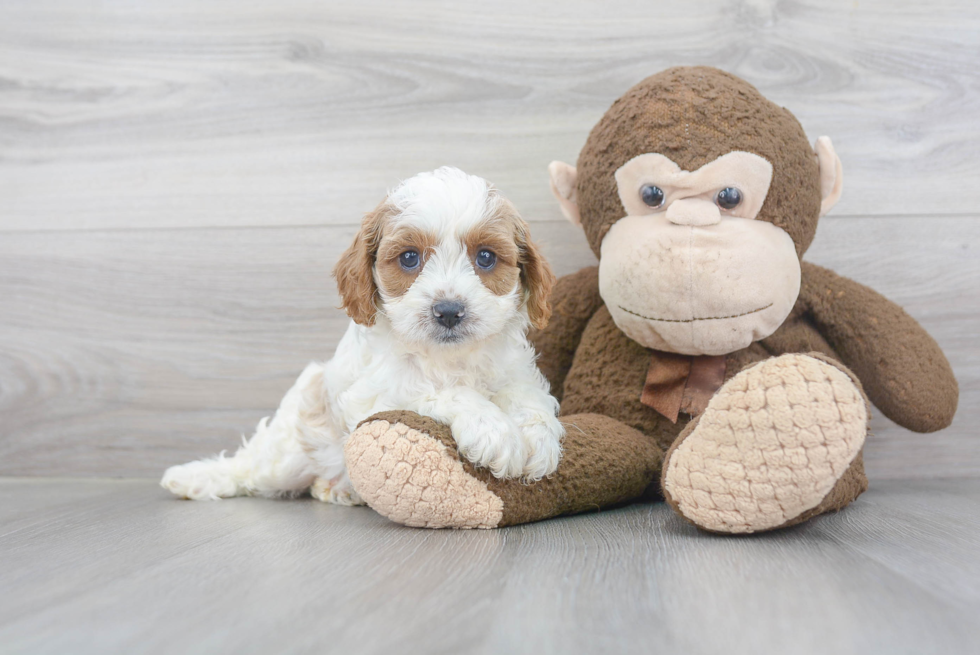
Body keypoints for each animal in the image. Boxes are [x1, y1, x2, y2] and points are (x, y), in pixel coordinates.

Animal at [160, 167, 560, 504]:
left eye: (486, 257)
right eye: (410, 258)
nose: (448, 311)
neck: (447, 357)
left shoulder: (514, 370)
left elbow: (527, 396)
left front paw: (540, 440)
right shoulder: (377, 394)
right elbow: (440, 391)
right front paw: (494, 430)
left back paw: (337, 490)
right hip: (287, 454)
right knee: (248, 469)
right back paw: (193, 478)